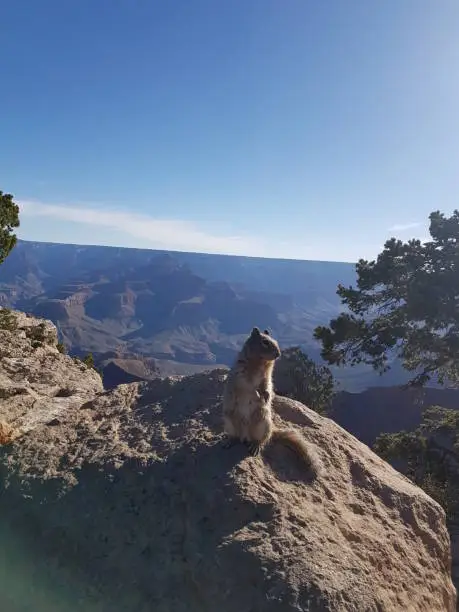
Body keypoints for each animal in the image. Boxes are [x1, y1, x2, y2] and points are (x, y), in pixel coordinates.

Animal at [223, 328, 320, 476]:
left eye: (276, 341)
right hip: (229, 420)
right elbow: (248, 386)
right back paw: (230, 441)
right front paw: (257, 394)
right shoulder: (241, 374)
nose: (278, 354)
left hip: (262, 422)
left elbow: (267, 385)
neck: (261, 363)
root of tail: (245, 435)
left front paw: (266, 396)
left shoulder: (267, 377)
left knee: (261, 440)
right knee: (235, 436)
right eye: (265, 342)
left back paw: (255, 446)